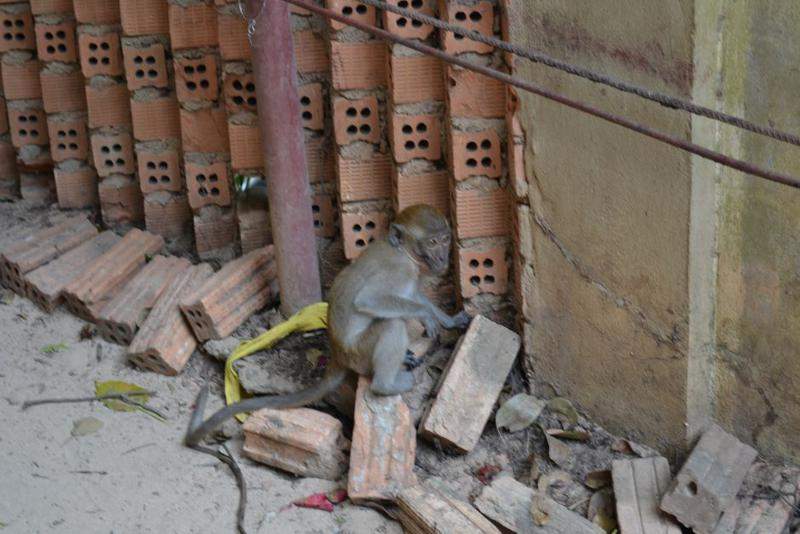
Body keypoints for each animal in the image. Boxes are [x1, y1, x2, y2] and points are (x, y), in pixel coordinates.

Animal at [184, 204, 470, 448]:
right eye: (432, 242)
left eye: (444, 239)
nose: (442, 257)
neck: (403, 252)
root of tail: (338, 355)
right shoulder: (399, 271)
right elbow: (370, 299)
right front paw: (428, 315)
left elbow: (414, 295)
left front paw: (448, 320)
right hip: (359, 352)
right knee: (391, 325)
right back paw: (385, 385)